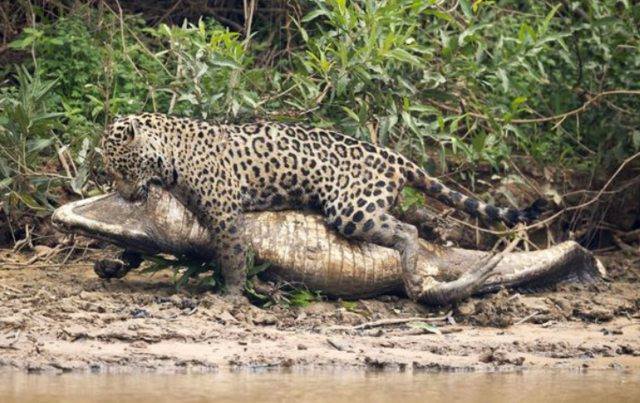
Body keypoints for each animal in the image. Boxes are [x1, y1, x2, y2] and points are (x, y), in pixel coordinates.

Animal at [101, 112, 541, 304]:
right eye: (110, 173)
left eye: (122, 168)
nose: (124, 194)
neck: (170, 153)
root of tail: (397, 158)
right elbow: (138, 242)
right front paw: (114, 264)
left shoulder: (225, 214)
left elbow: (232, 254)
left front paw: (229, 295)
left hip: (351, 209)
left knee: (409, 231)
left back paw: (412, 275)